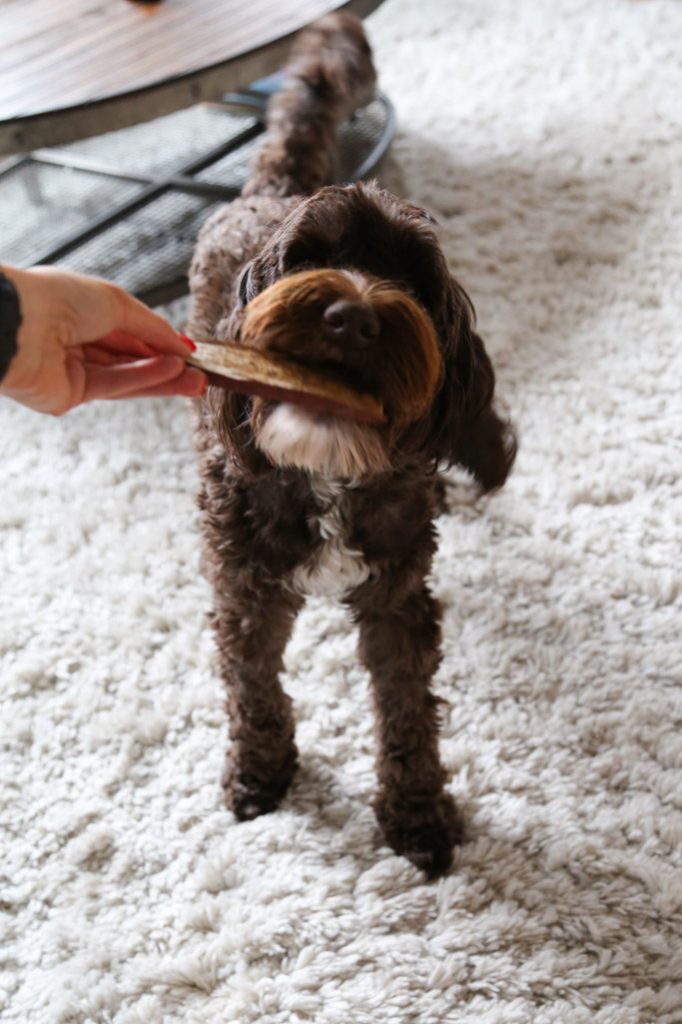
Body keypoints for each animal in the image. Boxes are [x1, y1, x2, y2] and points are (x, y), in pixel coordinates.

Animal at [186, 12, 516, 876]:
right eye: (311, 257)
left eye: (415, 280)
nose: (353, 318)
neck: (326, 465)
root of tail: (270, 190)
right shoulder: (247, 588)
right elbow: (253, 686)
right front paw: (260, 773)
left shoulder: (396, 597)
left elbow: (408, 712)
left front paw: (417, 816)